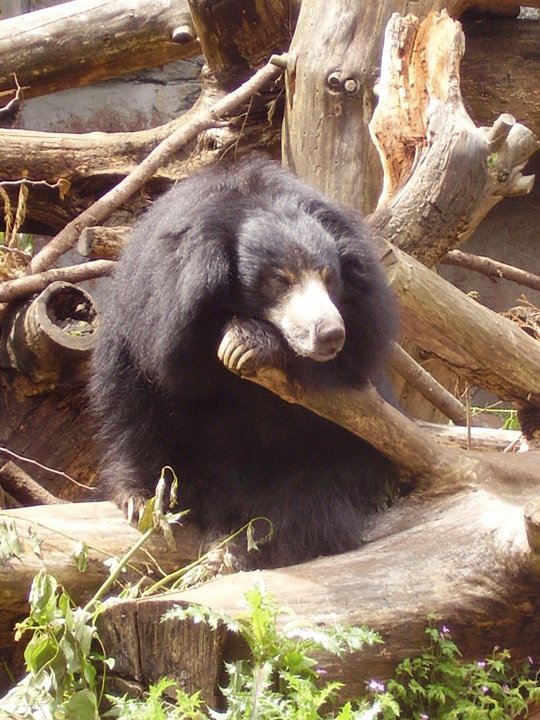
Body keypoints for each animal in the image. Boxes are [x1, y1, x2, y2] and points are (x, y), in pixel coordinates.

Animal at [89, 155, 399, 570]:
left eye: (329, 276)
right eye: (280, 280)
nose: (330, 333)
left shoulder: (363, 320)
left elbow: (345, 371)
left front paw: (248, 343)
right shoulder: (155, 310)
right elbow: (147, 385)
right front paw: (139, 498)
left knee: (309, 501)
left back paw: (232, 549)